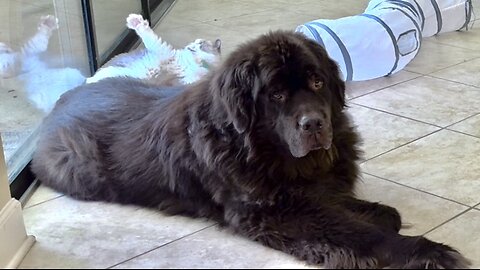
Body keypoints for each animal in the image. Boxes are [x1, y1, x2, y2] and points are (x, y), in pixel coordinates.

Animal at [31, 30, 468, 268]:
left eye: (317, 82)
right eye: (275, 95)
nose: (314, 124)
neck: (265, 151)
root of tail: (58, 103)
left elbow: (356, 206)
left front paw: (375, 210)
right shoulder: (275, 213)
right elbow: (354, 230)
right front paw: (426, 251)